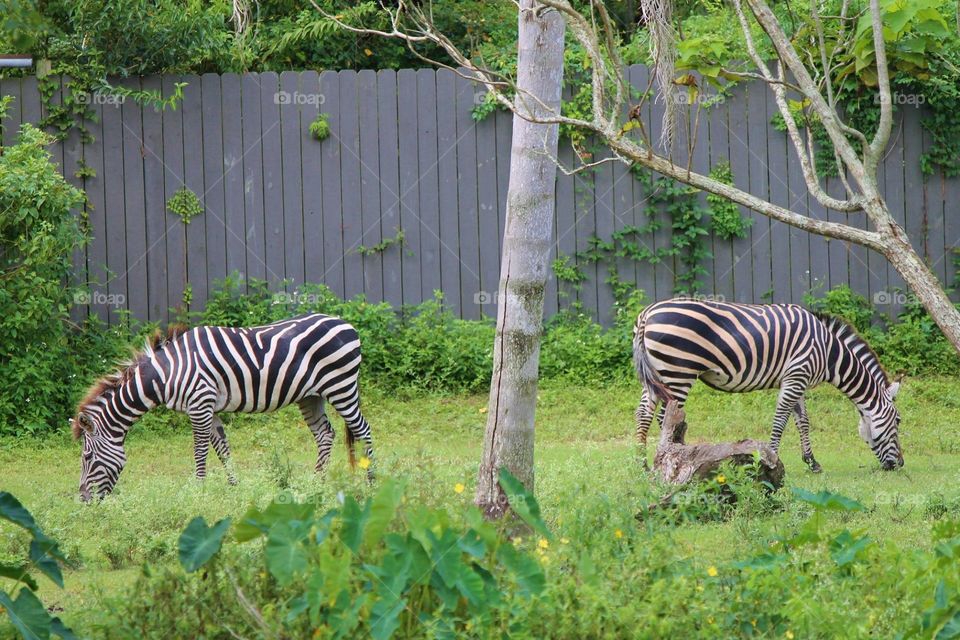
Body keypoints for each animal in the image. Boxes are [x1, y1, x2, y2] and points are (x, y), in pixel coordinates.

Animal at [72, 313, 374, 501]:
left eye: (87, 457)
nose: (83, 500)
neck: (167, 373)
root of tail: (346, 323)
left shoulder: (199, 404)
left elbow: (200, 451)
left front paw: (199, 491)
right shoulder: (210, 408)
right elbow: (222, 449)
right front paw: (233, 488)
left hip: (341, 386)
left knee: (364, 429)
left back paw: (371, 481)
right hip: (311, 396)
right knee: (325, 434)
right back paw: (316, 482)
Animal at [632, 298, 903, 471]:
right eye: (898, 421)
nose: (900, 464)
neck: (829, 352)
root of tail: (647, 313)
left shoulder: (797, 378)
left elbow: (802, 421)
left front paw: (812, 462)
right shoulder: (797, 376)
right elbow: (781, 419)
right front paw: (771, 459)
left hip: (657, 375)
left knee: (643, 414)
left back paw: (642, 464)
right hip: (678, 372)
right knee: (665, 418)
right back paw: (675, 456)